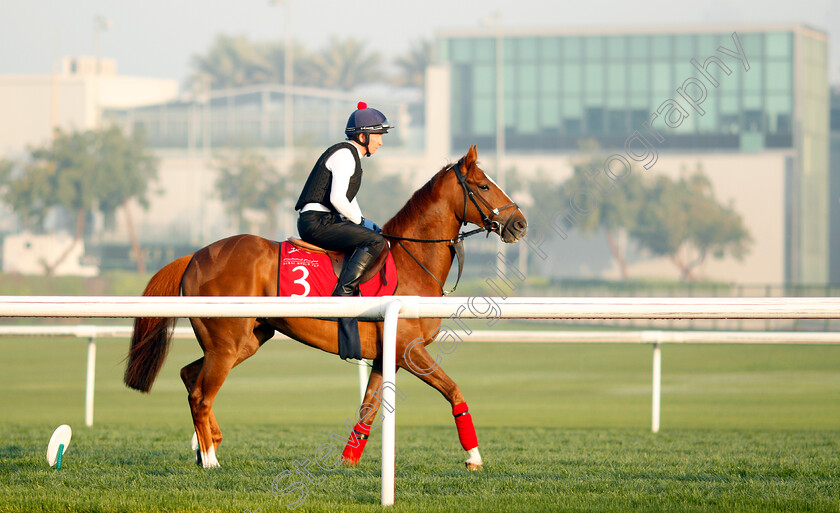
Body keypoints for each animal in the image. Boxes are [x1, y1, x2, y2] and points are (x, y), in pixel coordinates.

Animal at [121, 144, 528, 468]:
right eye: (483, 185)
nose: (520, 223)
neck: (413, 261)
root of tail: (195, 256)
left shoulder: (385, 356)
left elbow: (368, 409)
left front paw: (348, 461)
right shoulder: (408, 349)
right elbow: (455, 391)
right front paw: (473, 457)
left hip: (245, 340)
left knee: (190, 377)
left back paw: (208, 444)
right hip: (226, 343)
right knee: (202, 395)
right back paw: (209, 460)